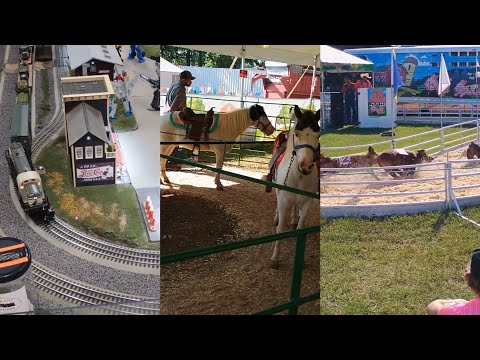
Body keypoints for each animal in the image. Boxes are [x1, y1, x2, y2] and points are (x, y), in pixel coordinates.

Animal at [270, 105, 318, 268]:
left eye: (318, 136)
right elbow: (279, 229)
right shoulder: (283, 201)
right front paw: (275, 258)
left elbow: (300, 228)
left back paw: (293, 219)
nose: (306, 166)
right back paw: (276, 217)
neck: (298, 175)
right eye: (297, 134)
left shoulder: (307, 202)